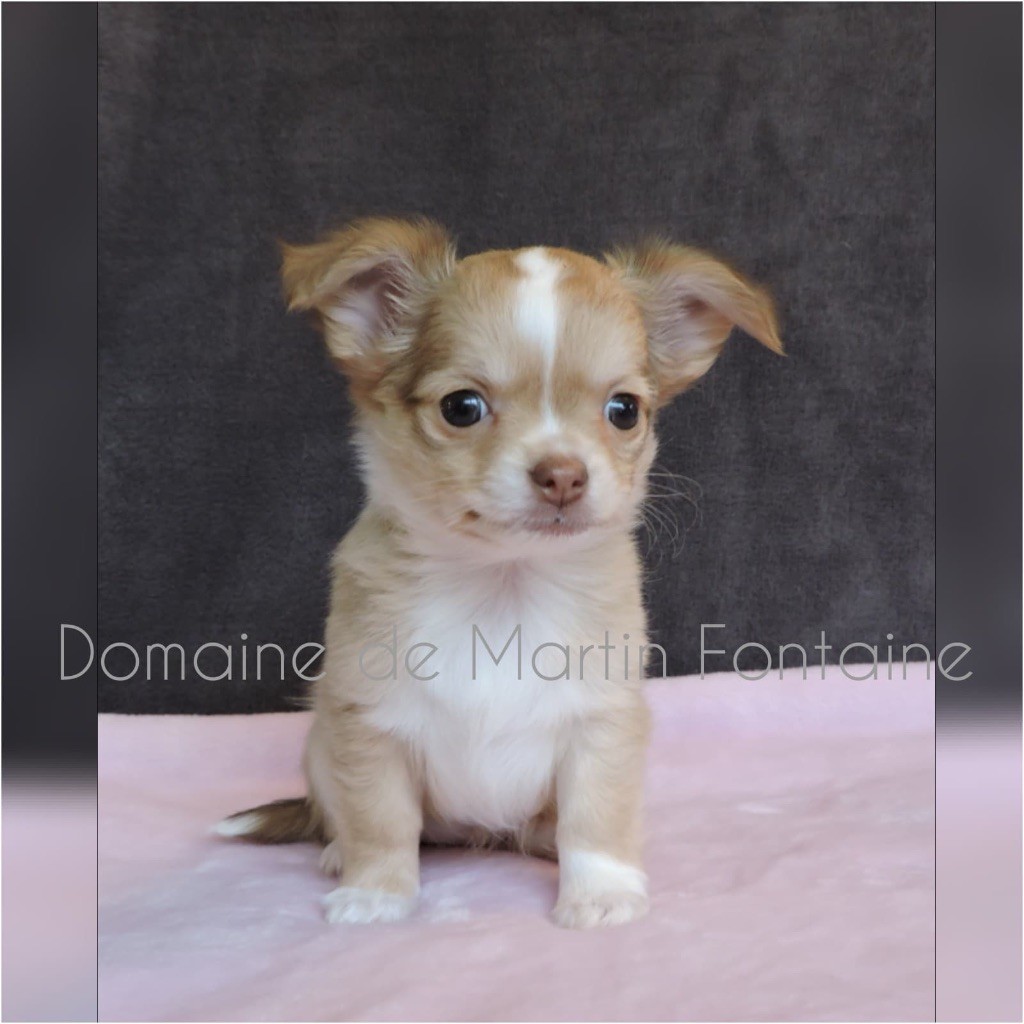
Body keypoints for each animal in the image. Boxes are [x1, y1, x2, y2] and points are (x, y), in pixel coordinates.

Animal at [216, 218, 782, 928]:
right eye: (462, 407)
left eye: (624, 410)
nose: (563, 473)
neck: (502, 588)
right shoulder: (368, 724)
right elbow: (381, 819)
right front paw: (377, 891)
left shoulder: (601, 725)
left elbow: (595, 818)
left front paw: (600, 892)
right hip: (321, 748)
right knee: (339, 813)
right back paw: (338, 851)